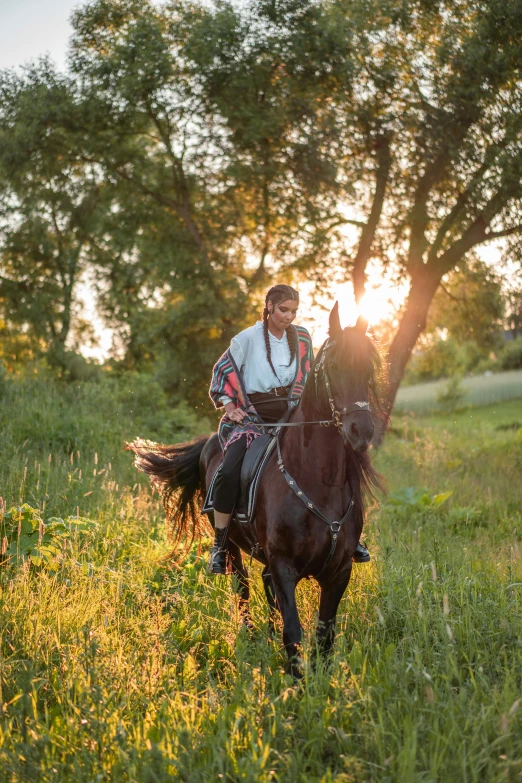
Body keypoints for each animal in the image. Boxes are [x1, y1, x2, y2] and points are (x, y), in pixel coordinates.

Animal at [128, 306, 382, 680]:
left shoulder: (339, 571)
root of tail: (210, 441)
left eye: (368, 369)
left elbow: (325, 635)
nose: (360, 431)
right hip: (232, 545)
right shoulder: (284, 565)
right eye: (334, 366)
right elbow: (293, 631)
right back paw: (249, 637)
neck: (319, 484)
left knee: (263, 586)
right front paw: (297, 684)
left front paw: (319, 684)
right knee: (243, 588)